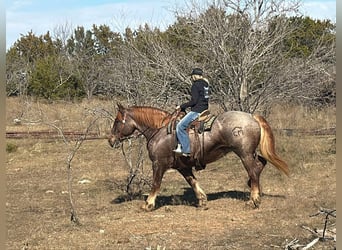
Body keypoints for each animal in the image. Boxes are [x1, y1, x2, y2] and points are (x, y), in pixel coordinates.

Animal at [109, 103, 288, 211]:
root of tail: (251, 117)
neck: (159, 130)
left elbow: (155, 184)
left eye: (117, 121)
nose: (111, 140)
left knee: (253, 171)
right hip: (251, 153)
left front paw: (148, 204)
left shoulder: (159, 164)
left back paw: (253, 199)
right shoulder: (183, 167)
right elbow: (193, 181)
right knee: (260, 164)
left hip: (244, 154)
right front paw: (202, 200)